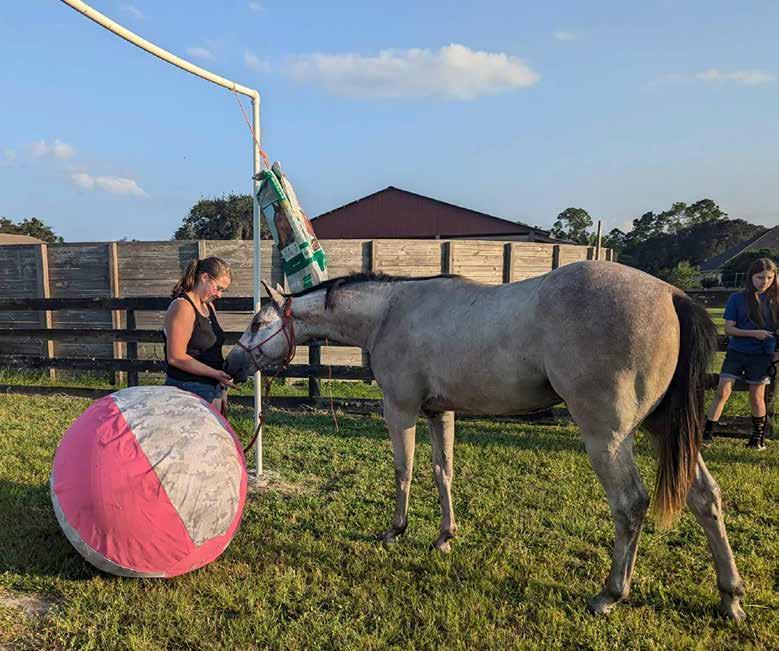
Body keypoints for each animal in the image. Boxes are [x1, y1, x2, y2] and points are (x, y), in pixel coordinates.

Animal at [224, 261, 745, 619]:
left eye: (256, 323)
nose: (231, 363)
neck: (390, 312)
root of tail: (673, 295)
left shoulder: (401, 410)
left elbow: (403, 470)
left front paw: (396, 530)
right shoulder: (440, 412)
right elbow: (443, 472)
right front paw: (444, 537)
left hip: (608, 436)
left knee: (631, 504)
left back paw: (610, 594)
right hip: (664, 429)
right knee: (706, 498)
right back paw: (731, 596)